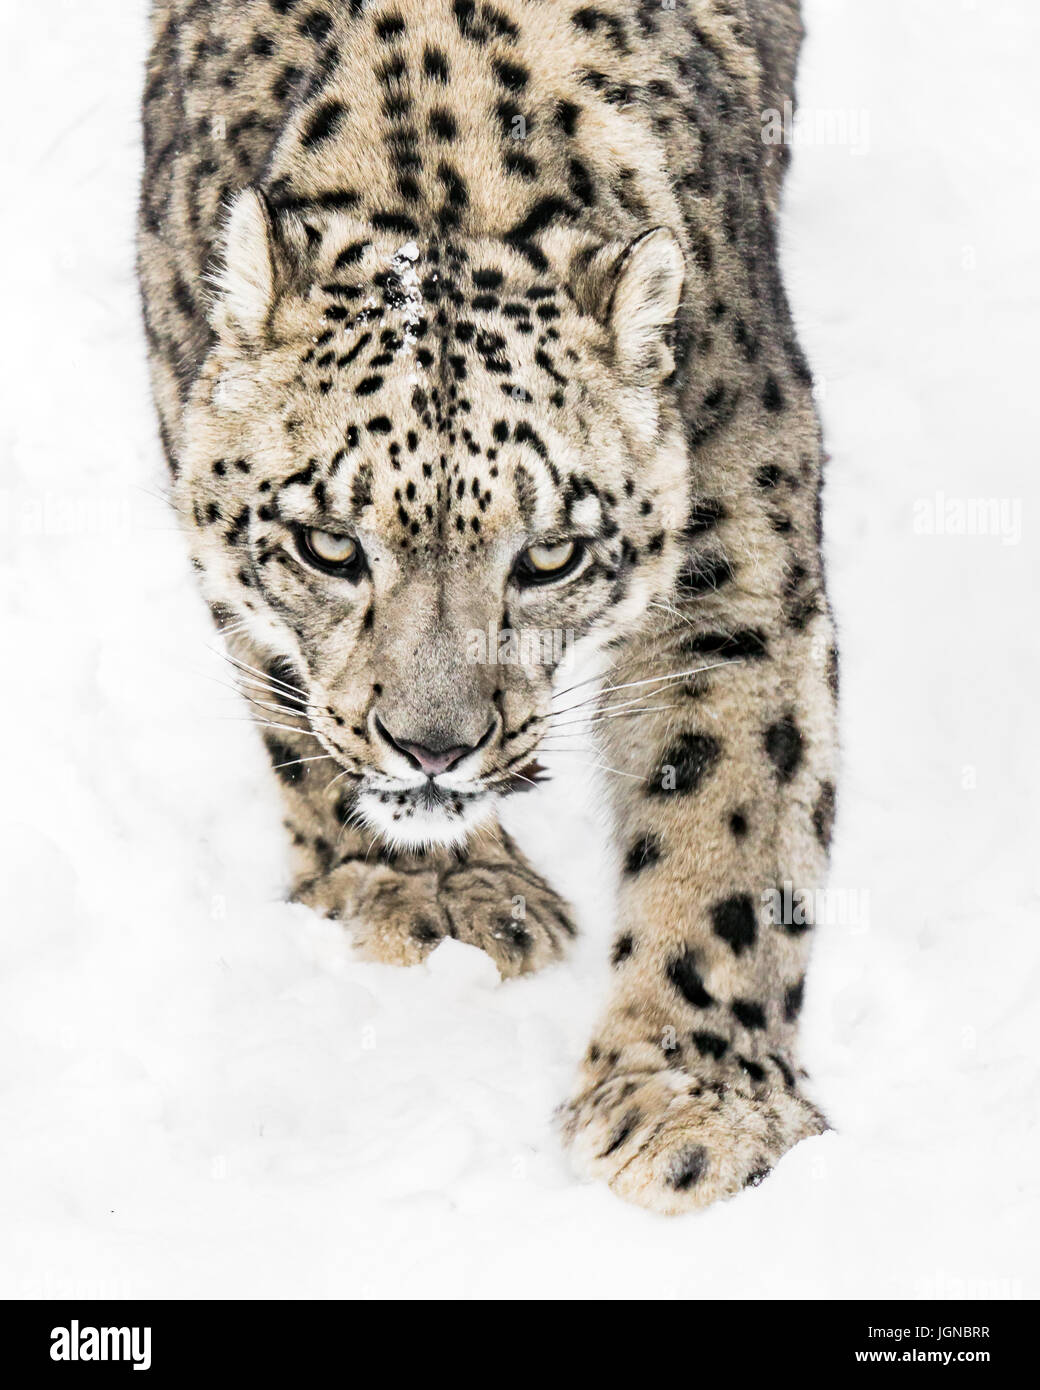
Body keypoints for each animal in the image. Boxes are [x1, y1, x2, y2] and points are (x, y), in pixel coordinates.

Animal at [139, 0, 838, 1215]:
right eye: (328, 544)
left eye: (549, 553)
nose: (434, 748)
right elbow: (293, 709)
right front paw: (435, 892)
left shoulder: (738, 554)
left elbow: (735, 798)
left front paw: (695, 1102)